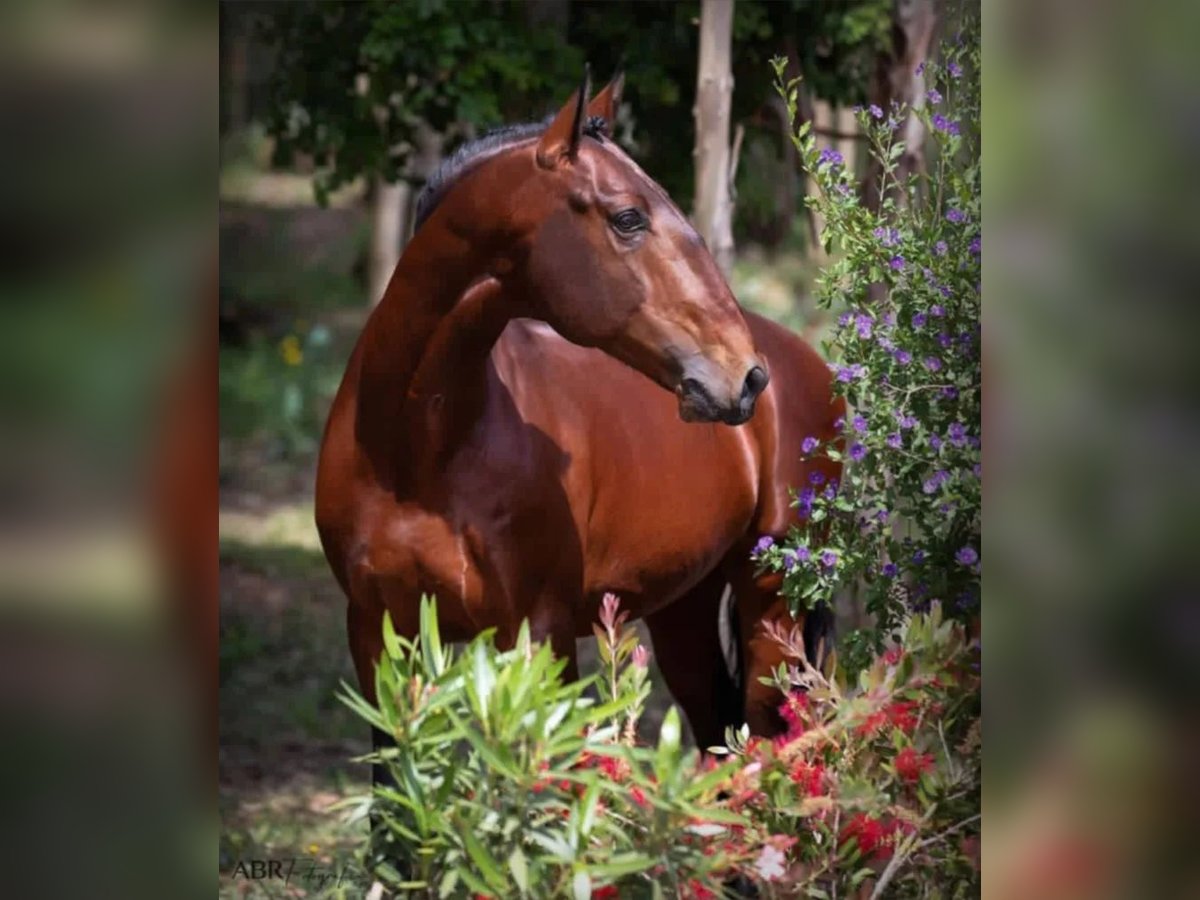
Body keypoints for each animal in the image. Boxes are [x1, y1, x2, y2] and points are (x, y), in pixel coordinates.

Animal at [319, 70, 844, 763]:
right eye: (628, 217)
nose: (746, 376)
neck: (416, 456)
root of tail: (806, 364)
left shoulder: (539, 638)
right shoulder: (376, 639)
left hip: (772, 609)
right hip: (685, 610)